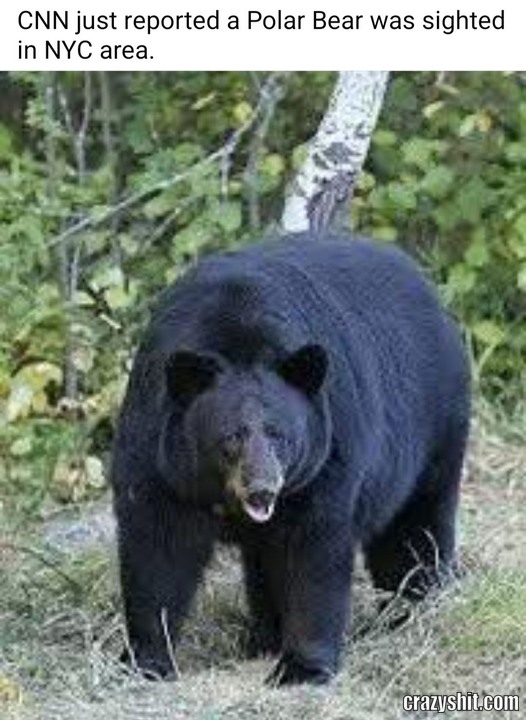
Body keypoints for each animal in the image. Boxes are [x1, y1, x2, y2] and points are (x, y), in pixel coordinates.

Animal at [111, 232, 470, 686]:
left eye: (279, 435)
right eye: (231, 436)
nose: (263, 488)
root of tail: (425, 282)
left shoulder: (324, 462)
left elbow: (311, 553)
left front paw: (302, 667)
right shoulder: (159, 455)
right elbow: (157, 548)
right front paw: (146, 661)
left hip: (431, 426)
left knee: (413, 530)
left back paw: (413, 609)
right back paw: (263, 637)